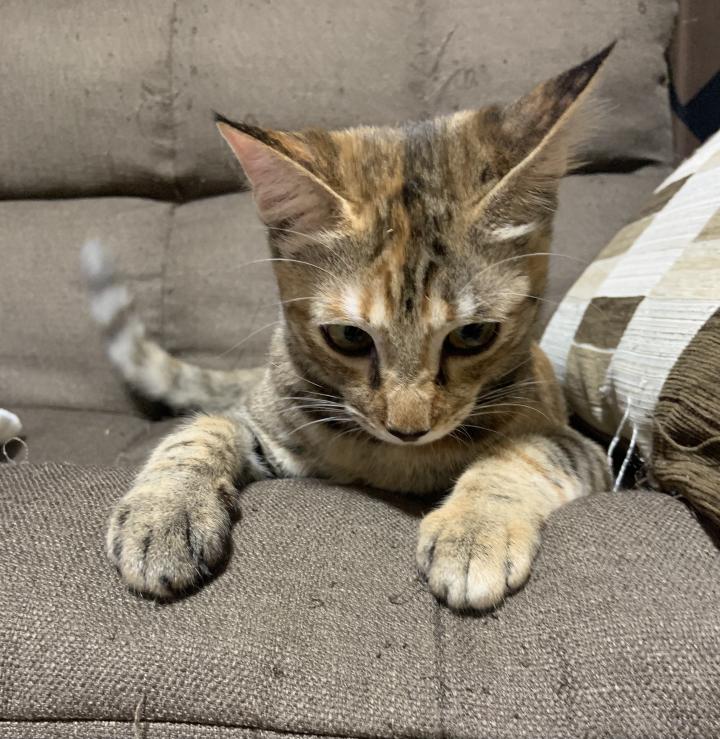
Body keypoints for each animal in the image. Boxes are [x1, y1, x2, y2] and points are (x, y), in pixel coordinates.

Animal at [84, 46, 612, 611]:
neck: (398, 463)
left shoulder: (581, 447)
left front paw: (474, 531)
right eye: (349, 337)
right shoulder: (268, 428)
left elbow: (524, 452)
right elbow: (204, 428)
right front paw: (162, 513)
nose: (408, 429)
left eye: (472, 336)